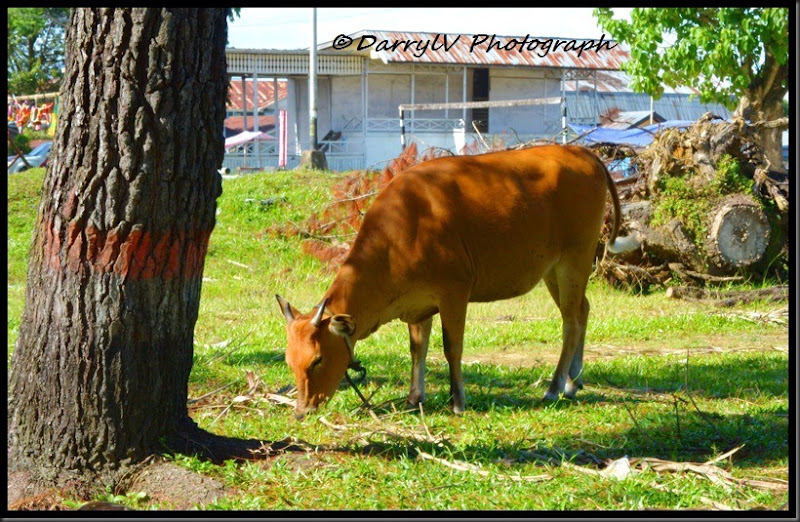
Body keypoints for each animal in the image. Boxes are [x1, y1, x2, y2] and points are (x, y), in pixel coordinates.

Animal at [277, 144, 631, 420]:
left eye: (318, 360)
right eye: (289, 360)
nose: (302, 410)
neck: (404, 228)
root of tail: (582, 152)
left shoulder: (454, 292)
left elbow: (452, 348)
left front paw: (458, 400)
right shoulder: (418, 306)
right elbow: (417, 350)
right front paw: (414, 398)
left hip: (574, 259)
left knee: (570, 322)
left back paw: (555, 387)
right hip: (553, 270)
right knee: (582, 311)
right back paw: (574, 380)